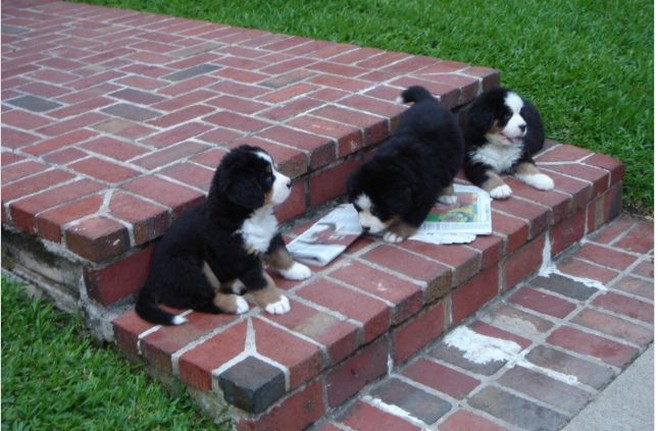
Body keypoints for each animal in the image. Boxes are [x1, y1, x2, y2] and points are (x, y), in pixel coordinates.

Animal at [135, 143, 312, 326]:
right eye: (267, 177)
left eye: (274, 169)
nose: (290, 182)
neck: (250, 216)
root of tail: (152, 280)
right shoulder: (241, 256)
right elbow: (261, 281)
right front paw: (276, 301)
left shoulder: (270, 234)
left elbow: (281, 254)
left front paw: (295, 269)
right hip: (188, 265)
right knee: (203, 300)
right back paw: (235, 302)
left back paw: (236, 284)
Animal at [346, 86, 464, 245]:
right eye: (357, 208)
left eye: (376, 211)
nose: (365, 227)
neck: (395, 162)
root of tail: (429, 101)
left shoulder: (424, 194)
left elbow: (411, 217)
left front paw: (396, 233)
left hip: (454, 155)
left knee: (449, 174)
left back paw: (447, 194)